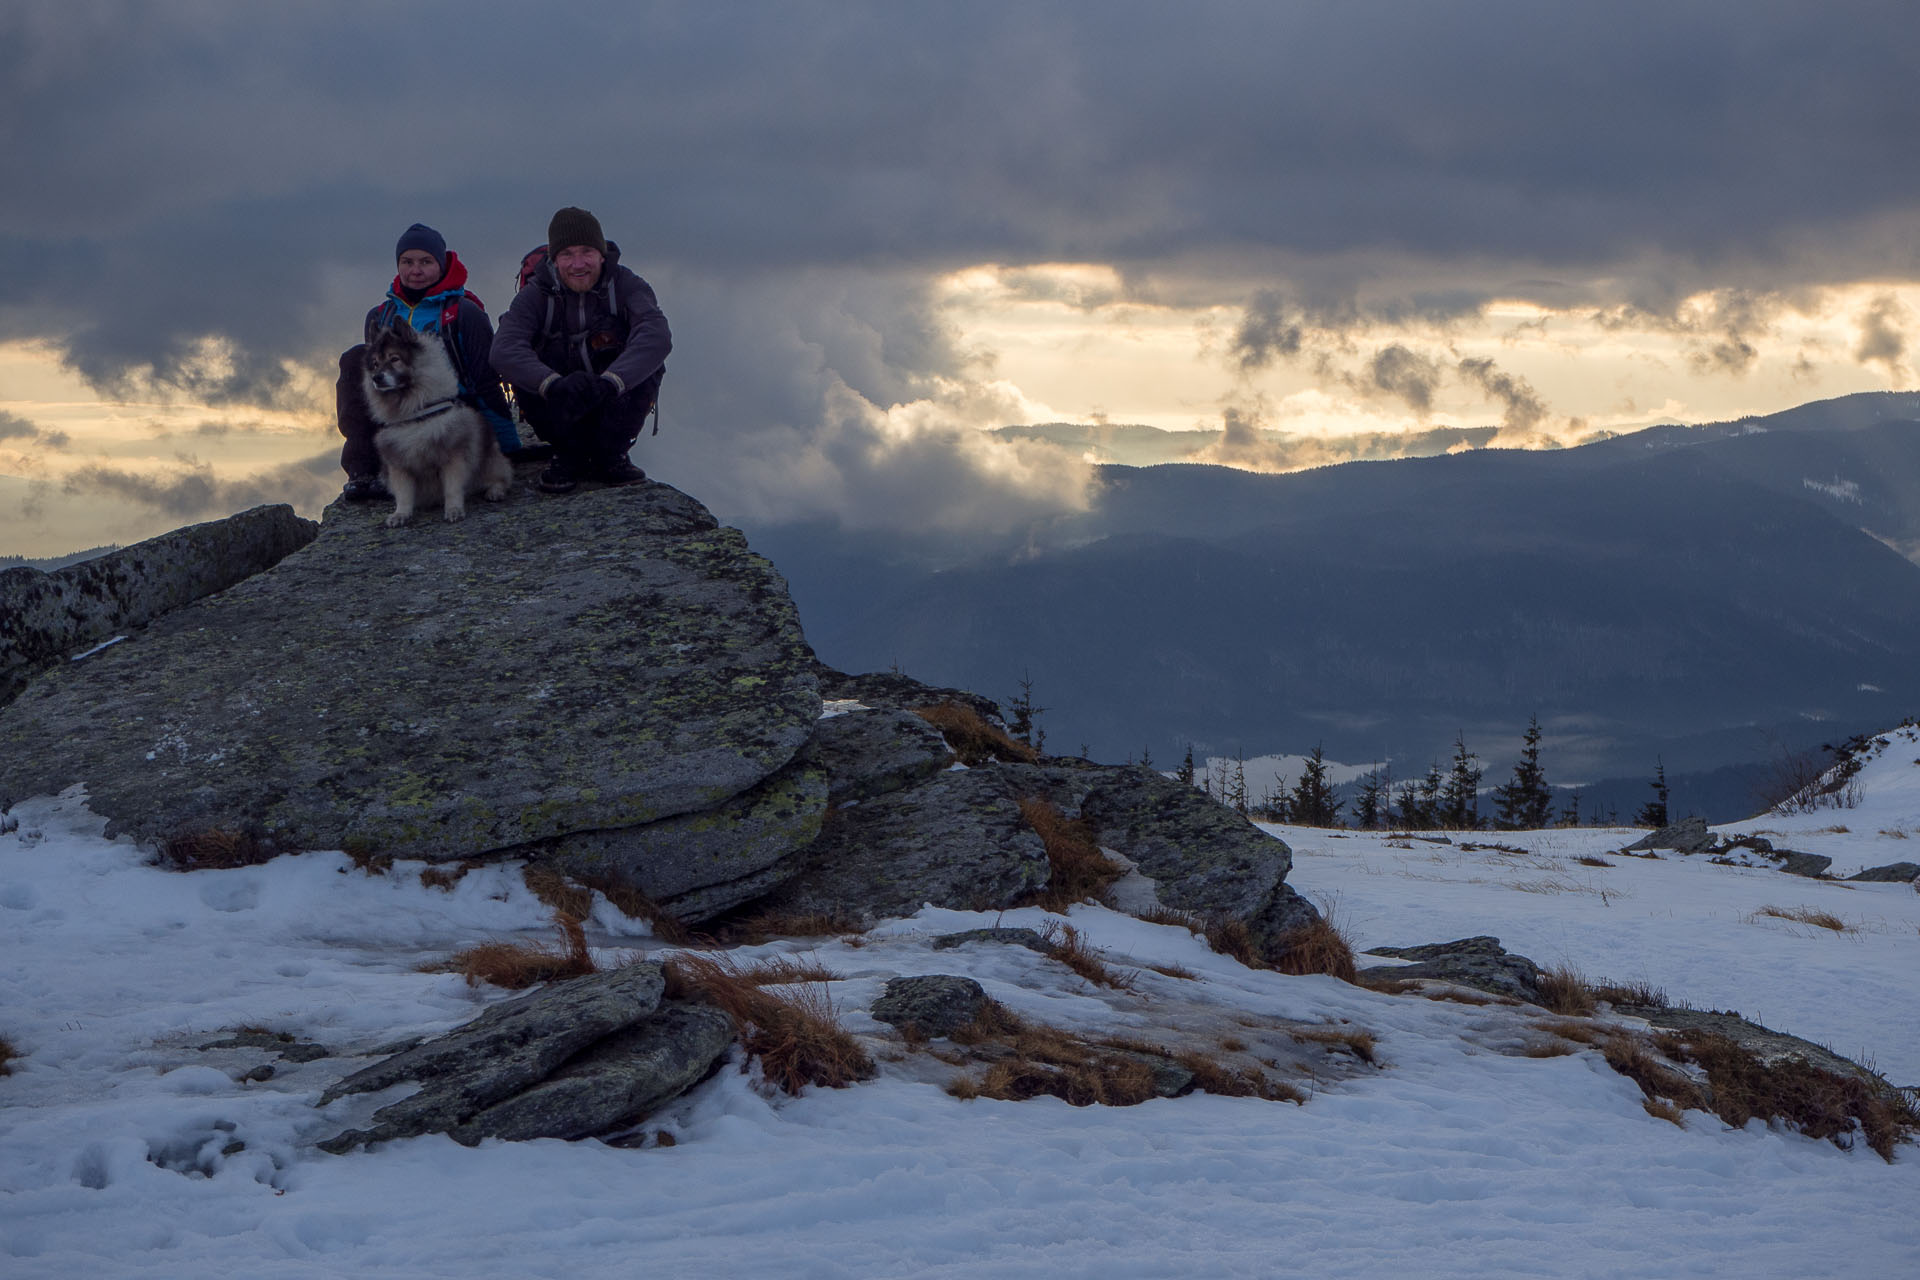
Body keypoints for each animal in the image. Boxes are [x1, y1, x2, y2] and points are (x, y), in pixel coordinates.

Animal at [360, 330, 510, 529]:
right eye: (375, 363)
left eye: (394, 359)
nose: (376, 378)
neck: (414, 413)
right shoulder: (399, 464)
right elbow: (403, 495)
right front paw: (401, 515)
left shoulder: (453, 457)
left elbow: (452, 488)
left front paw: (454, 510)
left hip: (489, 461)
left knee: (501, 476)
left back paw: (495, 491)